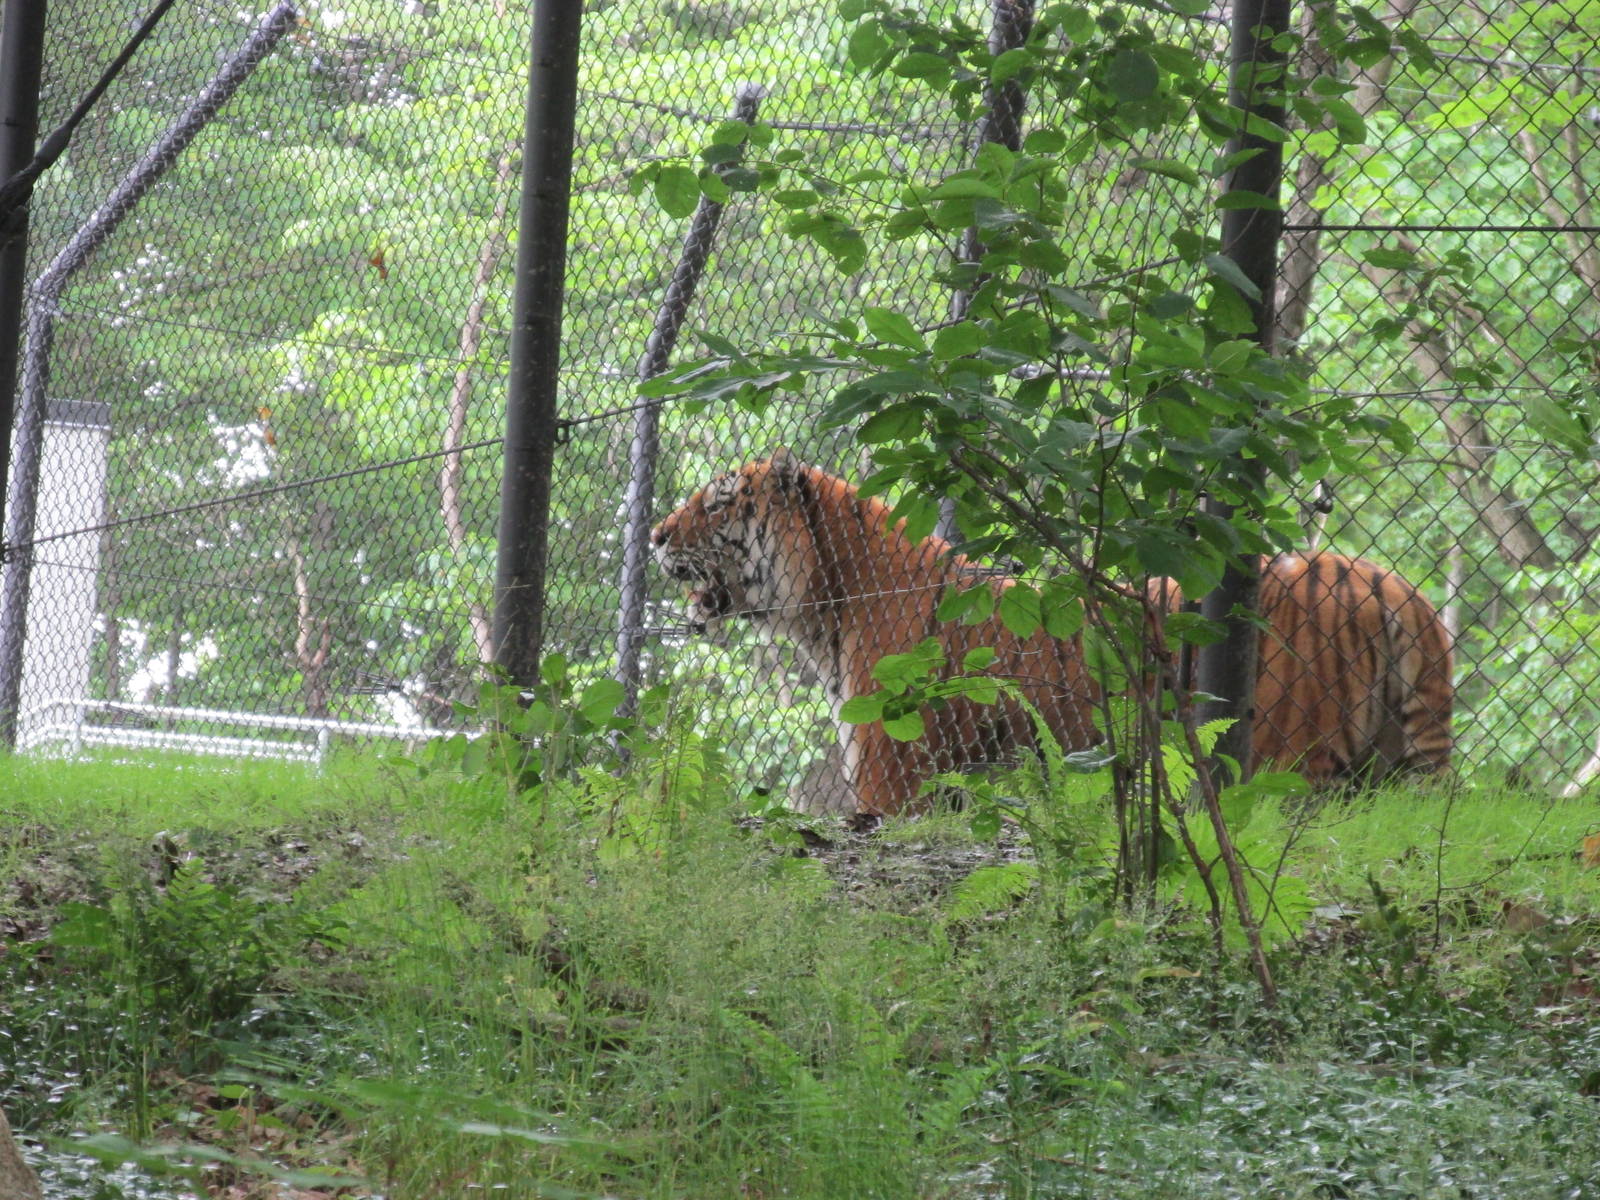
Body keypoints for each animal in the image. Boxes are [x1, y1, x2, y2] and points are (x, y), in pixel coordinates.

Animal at [651, 450, 1454, 816]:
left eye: (717, 502)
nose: (655, 535)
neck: (825, 604)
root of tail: (1390, 582)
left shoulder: (892, 775)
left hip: (1289, 762)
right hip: (1383, 769)